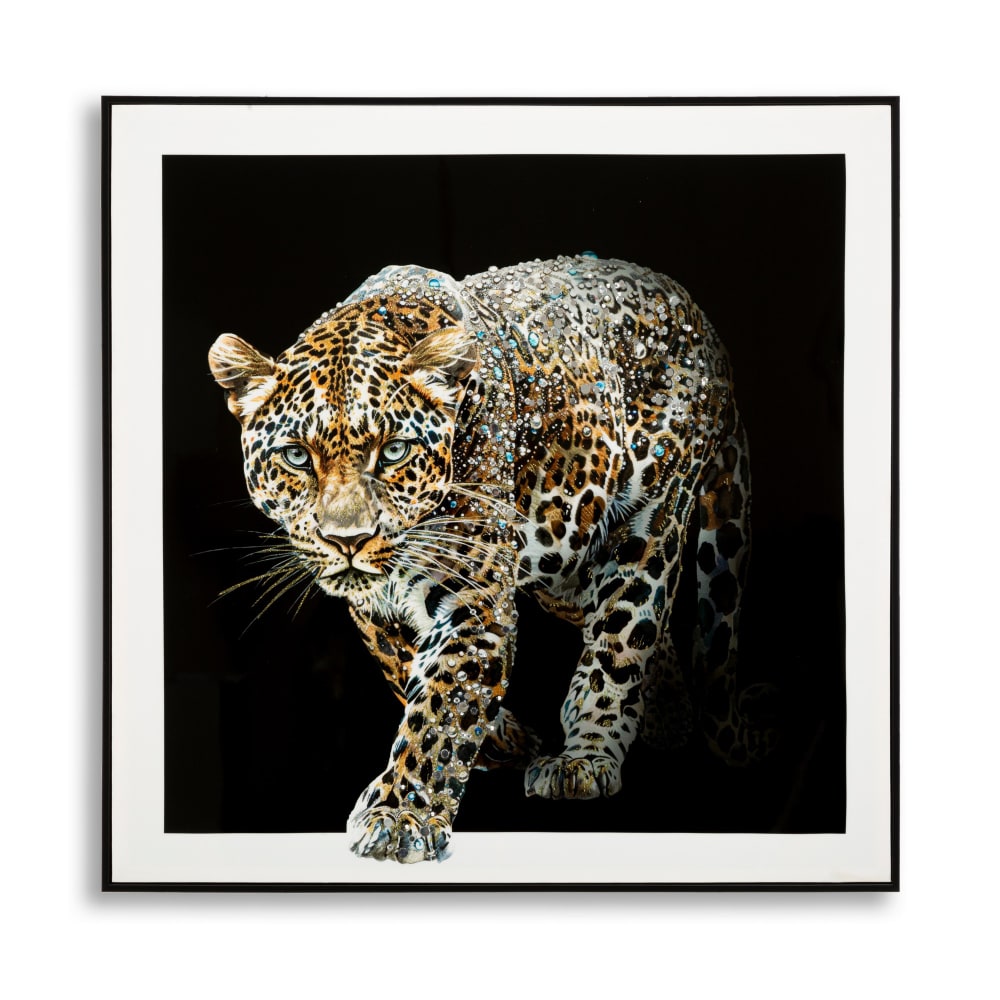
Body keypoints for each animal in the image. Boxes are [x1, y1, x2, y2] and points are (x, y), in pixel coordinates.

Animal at [208, 254, 773, 864]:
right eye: (296, 457)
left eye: (394, 451)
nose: (348, 540)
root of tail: (698, 316)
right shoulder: (376, 609)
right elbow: (407, 669)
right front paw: (501, 739)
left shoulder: (475, 599)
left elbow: (440, 707)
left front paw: (399, 815)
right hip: (564, 556)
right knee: (644, 628)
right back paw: (667, 717)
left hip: (650, 519)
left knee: (624, 634)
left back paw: (586, 756)